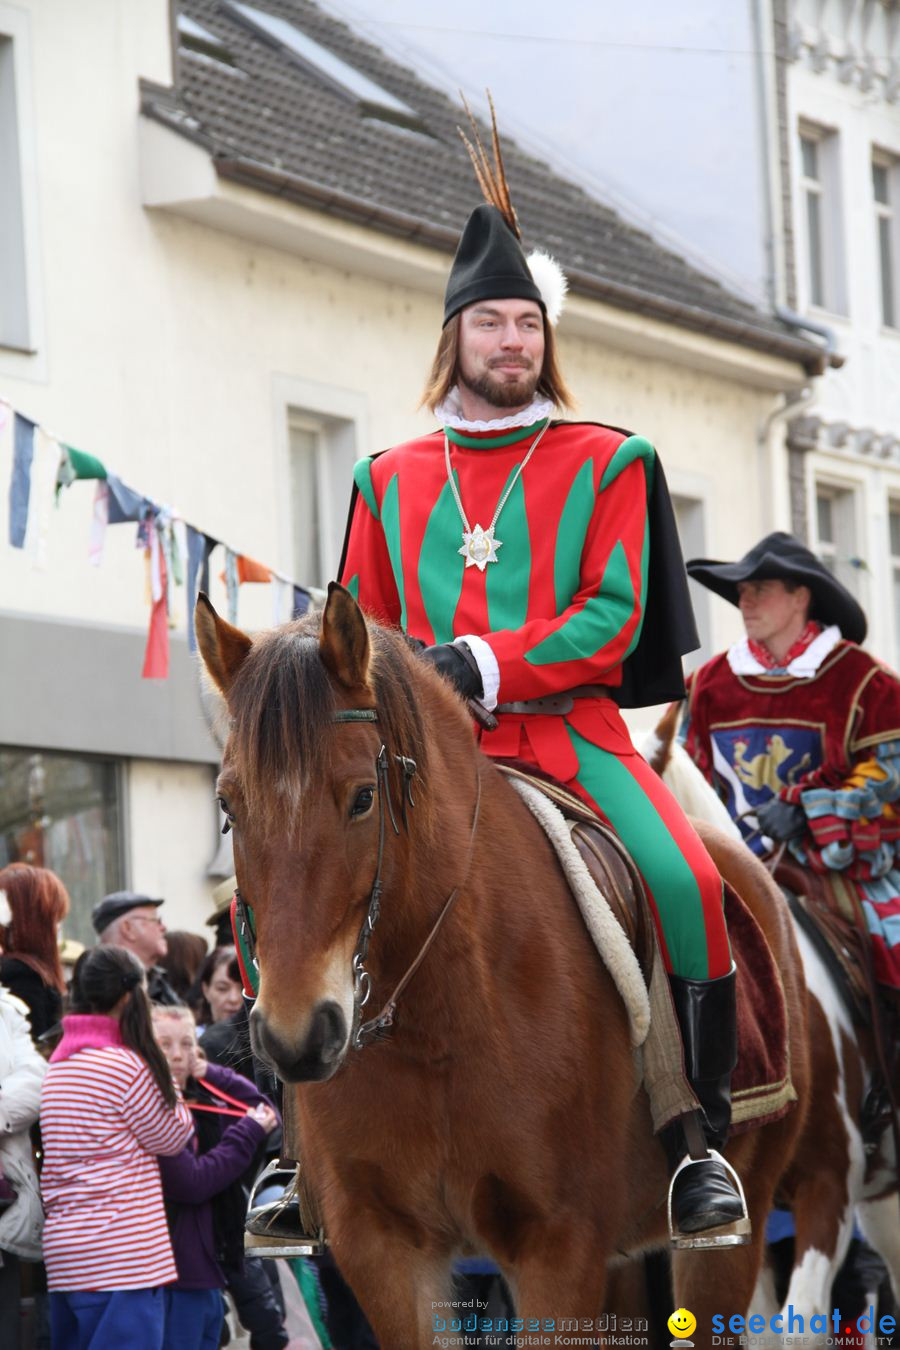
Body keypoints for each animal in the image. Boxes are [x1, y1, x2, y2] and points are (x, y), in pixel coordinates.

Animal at [197, 585, 814, 1344]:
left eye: (362, 797)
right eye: (228, 804)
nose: (297, 1036)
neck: (435, 1022)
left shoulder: (558, 1245)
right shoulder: (381, 1248)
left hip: (727, 1237)